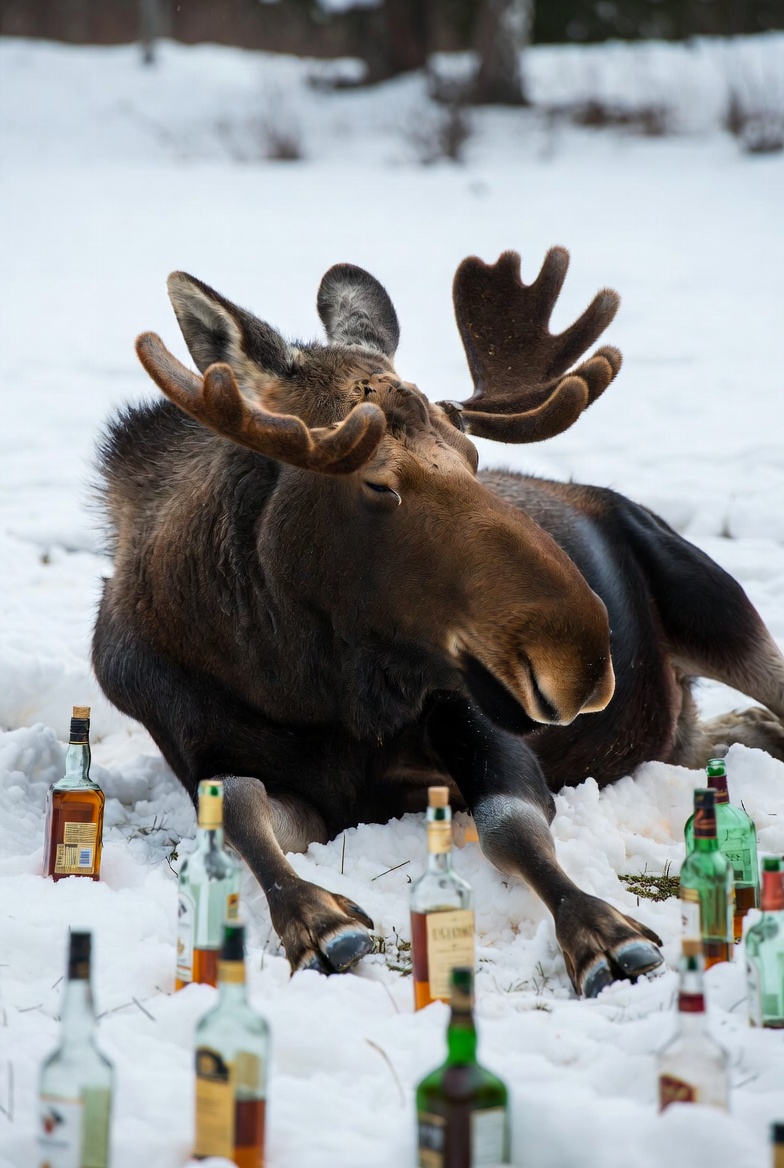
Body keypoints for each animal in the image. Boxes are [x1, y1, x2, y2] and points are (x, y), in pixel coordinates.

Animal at [92, 246, 784, 997]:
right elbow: (242, 813)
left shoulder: (475, 716)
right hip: (675, 714)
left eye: (474, 455)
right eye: (377, 481)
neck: (309, 689)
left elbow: (509, 825)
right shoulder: (207, 752)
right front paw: (315, 917)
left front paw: (603, 930)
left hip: (712, 598)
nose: (582, 657)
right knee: (718, 733)